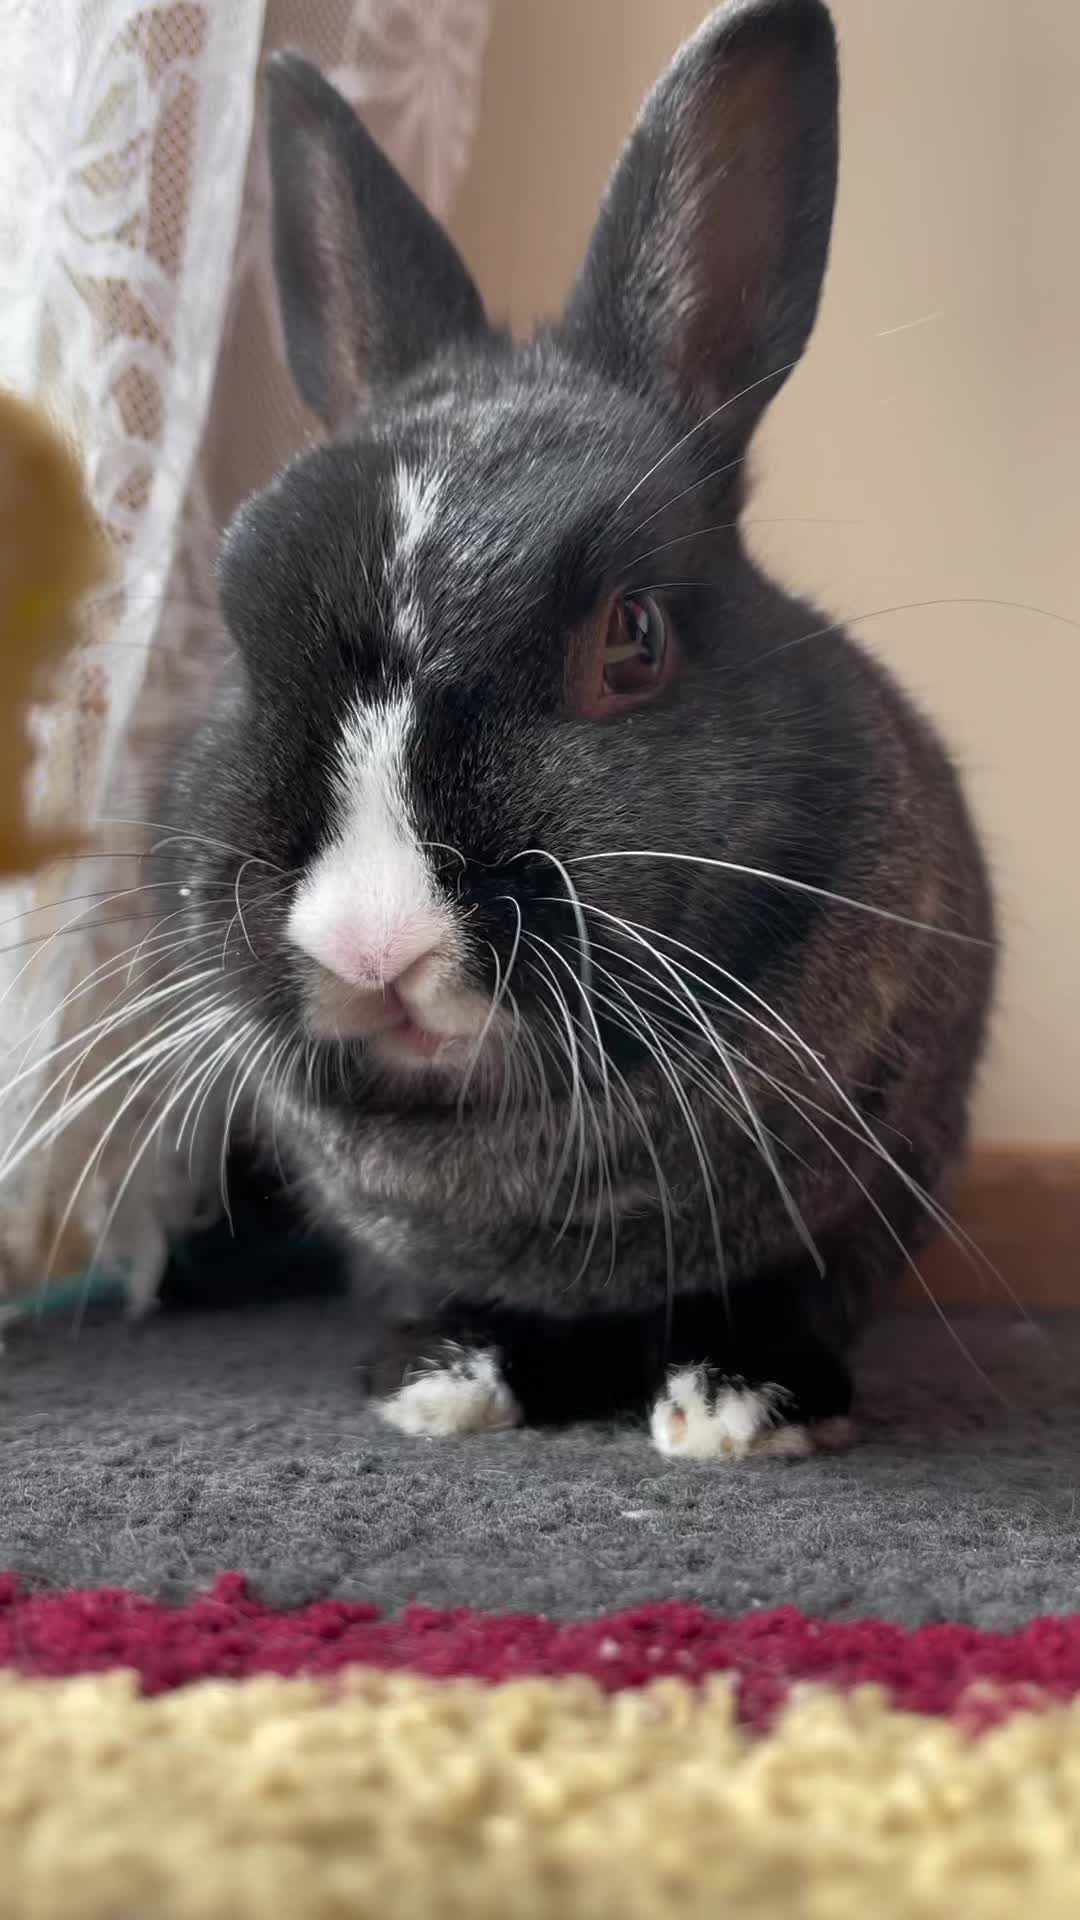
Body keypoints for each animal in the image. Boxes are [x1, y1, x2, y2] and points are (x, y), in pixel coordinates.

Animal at [159, 0, 995, 1460]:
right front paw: (439, 1380)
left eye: (634, 639)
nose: (372, 945)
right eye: (242, 631)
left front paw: (743, 1408)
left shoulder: (870, 1190)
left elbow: (786, 1295)